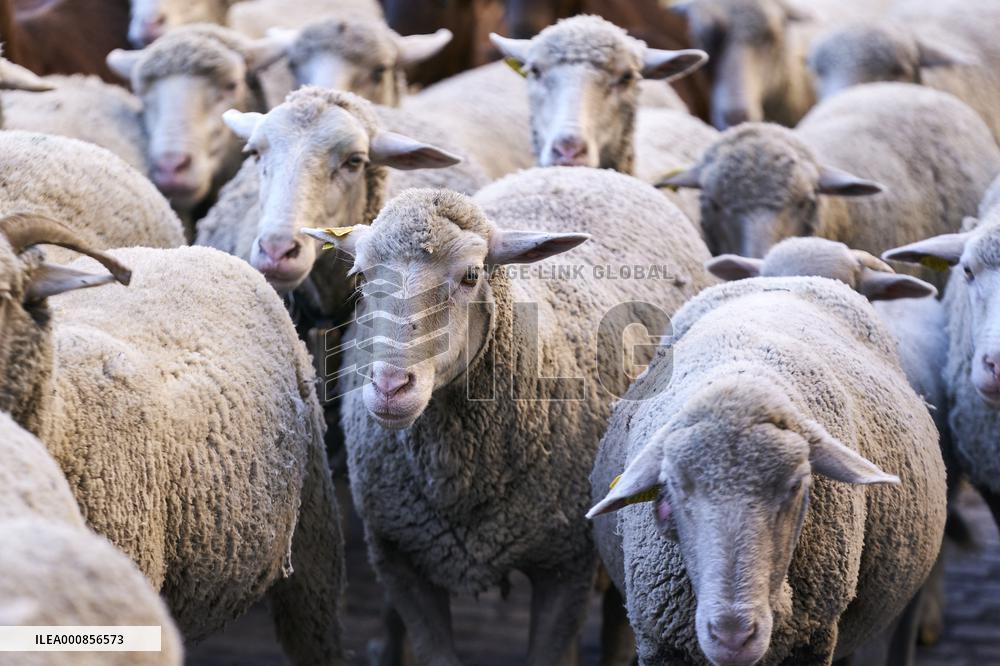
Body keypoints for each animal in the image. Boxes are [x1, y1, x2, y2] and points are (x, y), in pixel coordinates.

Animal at [304, 166, 714, 664]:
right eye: (360, 275)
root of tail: (588, 170)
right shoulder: (401, 560)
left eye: (471, 275)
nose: (390, 387)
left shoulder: (566, 565)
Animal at [588, 275, 946, 666]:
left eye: (795, 486)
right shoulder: (659, 645)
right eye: (675, 487)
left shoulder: (813, 642)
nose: (733, 637)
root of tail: (790, 278)